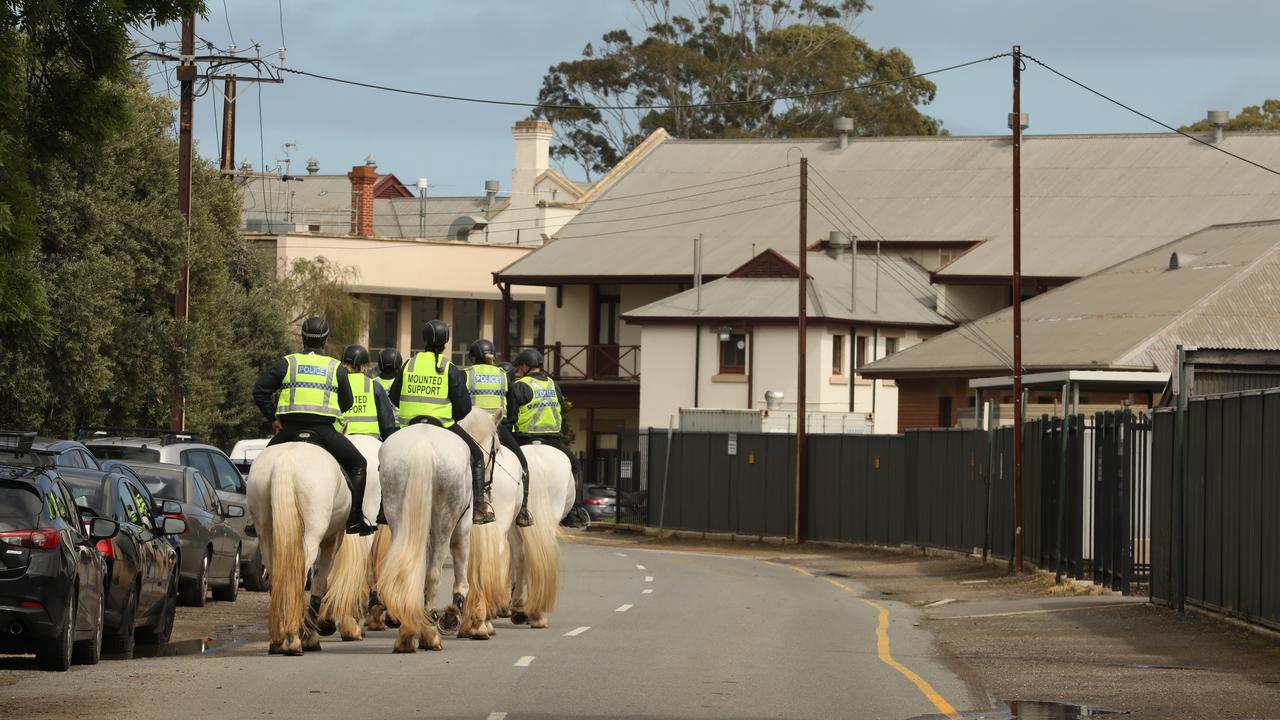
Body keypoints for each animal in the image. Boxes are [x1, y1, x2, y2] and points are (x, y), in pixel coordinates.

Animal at [244, 440, 368, 653]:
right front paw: (315, 633)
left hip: (266, 533)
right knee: (298, 577)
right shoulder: (333, 540)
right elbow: (320, 580)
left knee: (277, 577)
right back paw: (294, 639)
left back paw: (278, 640)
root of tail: (285, 460)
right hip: (311, 533)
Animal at [373, 409, 496, 650]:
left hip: (398, 516)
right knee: (433, 574)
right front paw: (453, 613)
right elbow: (460, 567)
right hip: (445, 522)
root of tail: (423, 446)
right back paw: (430, 632)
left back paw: (407, 630)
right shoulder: (463, 526)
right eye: (496, 451)